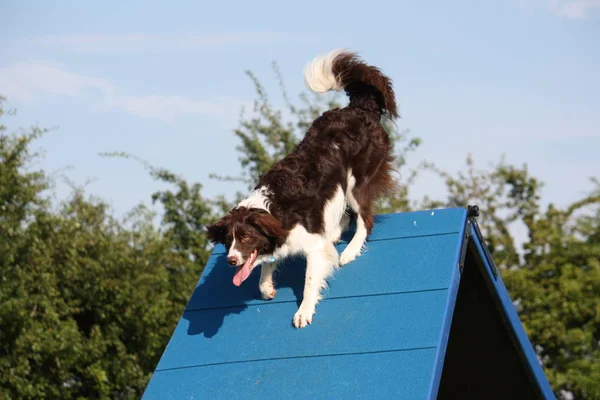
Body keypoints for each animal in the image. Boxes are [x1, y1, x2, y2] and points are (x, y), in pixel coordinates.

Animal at [206, 48, 398, 328]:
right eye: (228, 240)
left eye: (245, 238)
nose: (231, 261)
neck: (271, 209)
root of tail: (360, 107)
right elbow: (266, 267)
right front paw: (267, 287)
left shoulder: (313, 245)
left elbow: (309, 279)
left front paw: (303, 312)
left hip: (356, 181)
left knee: (364, 218)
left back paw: (349, 252)